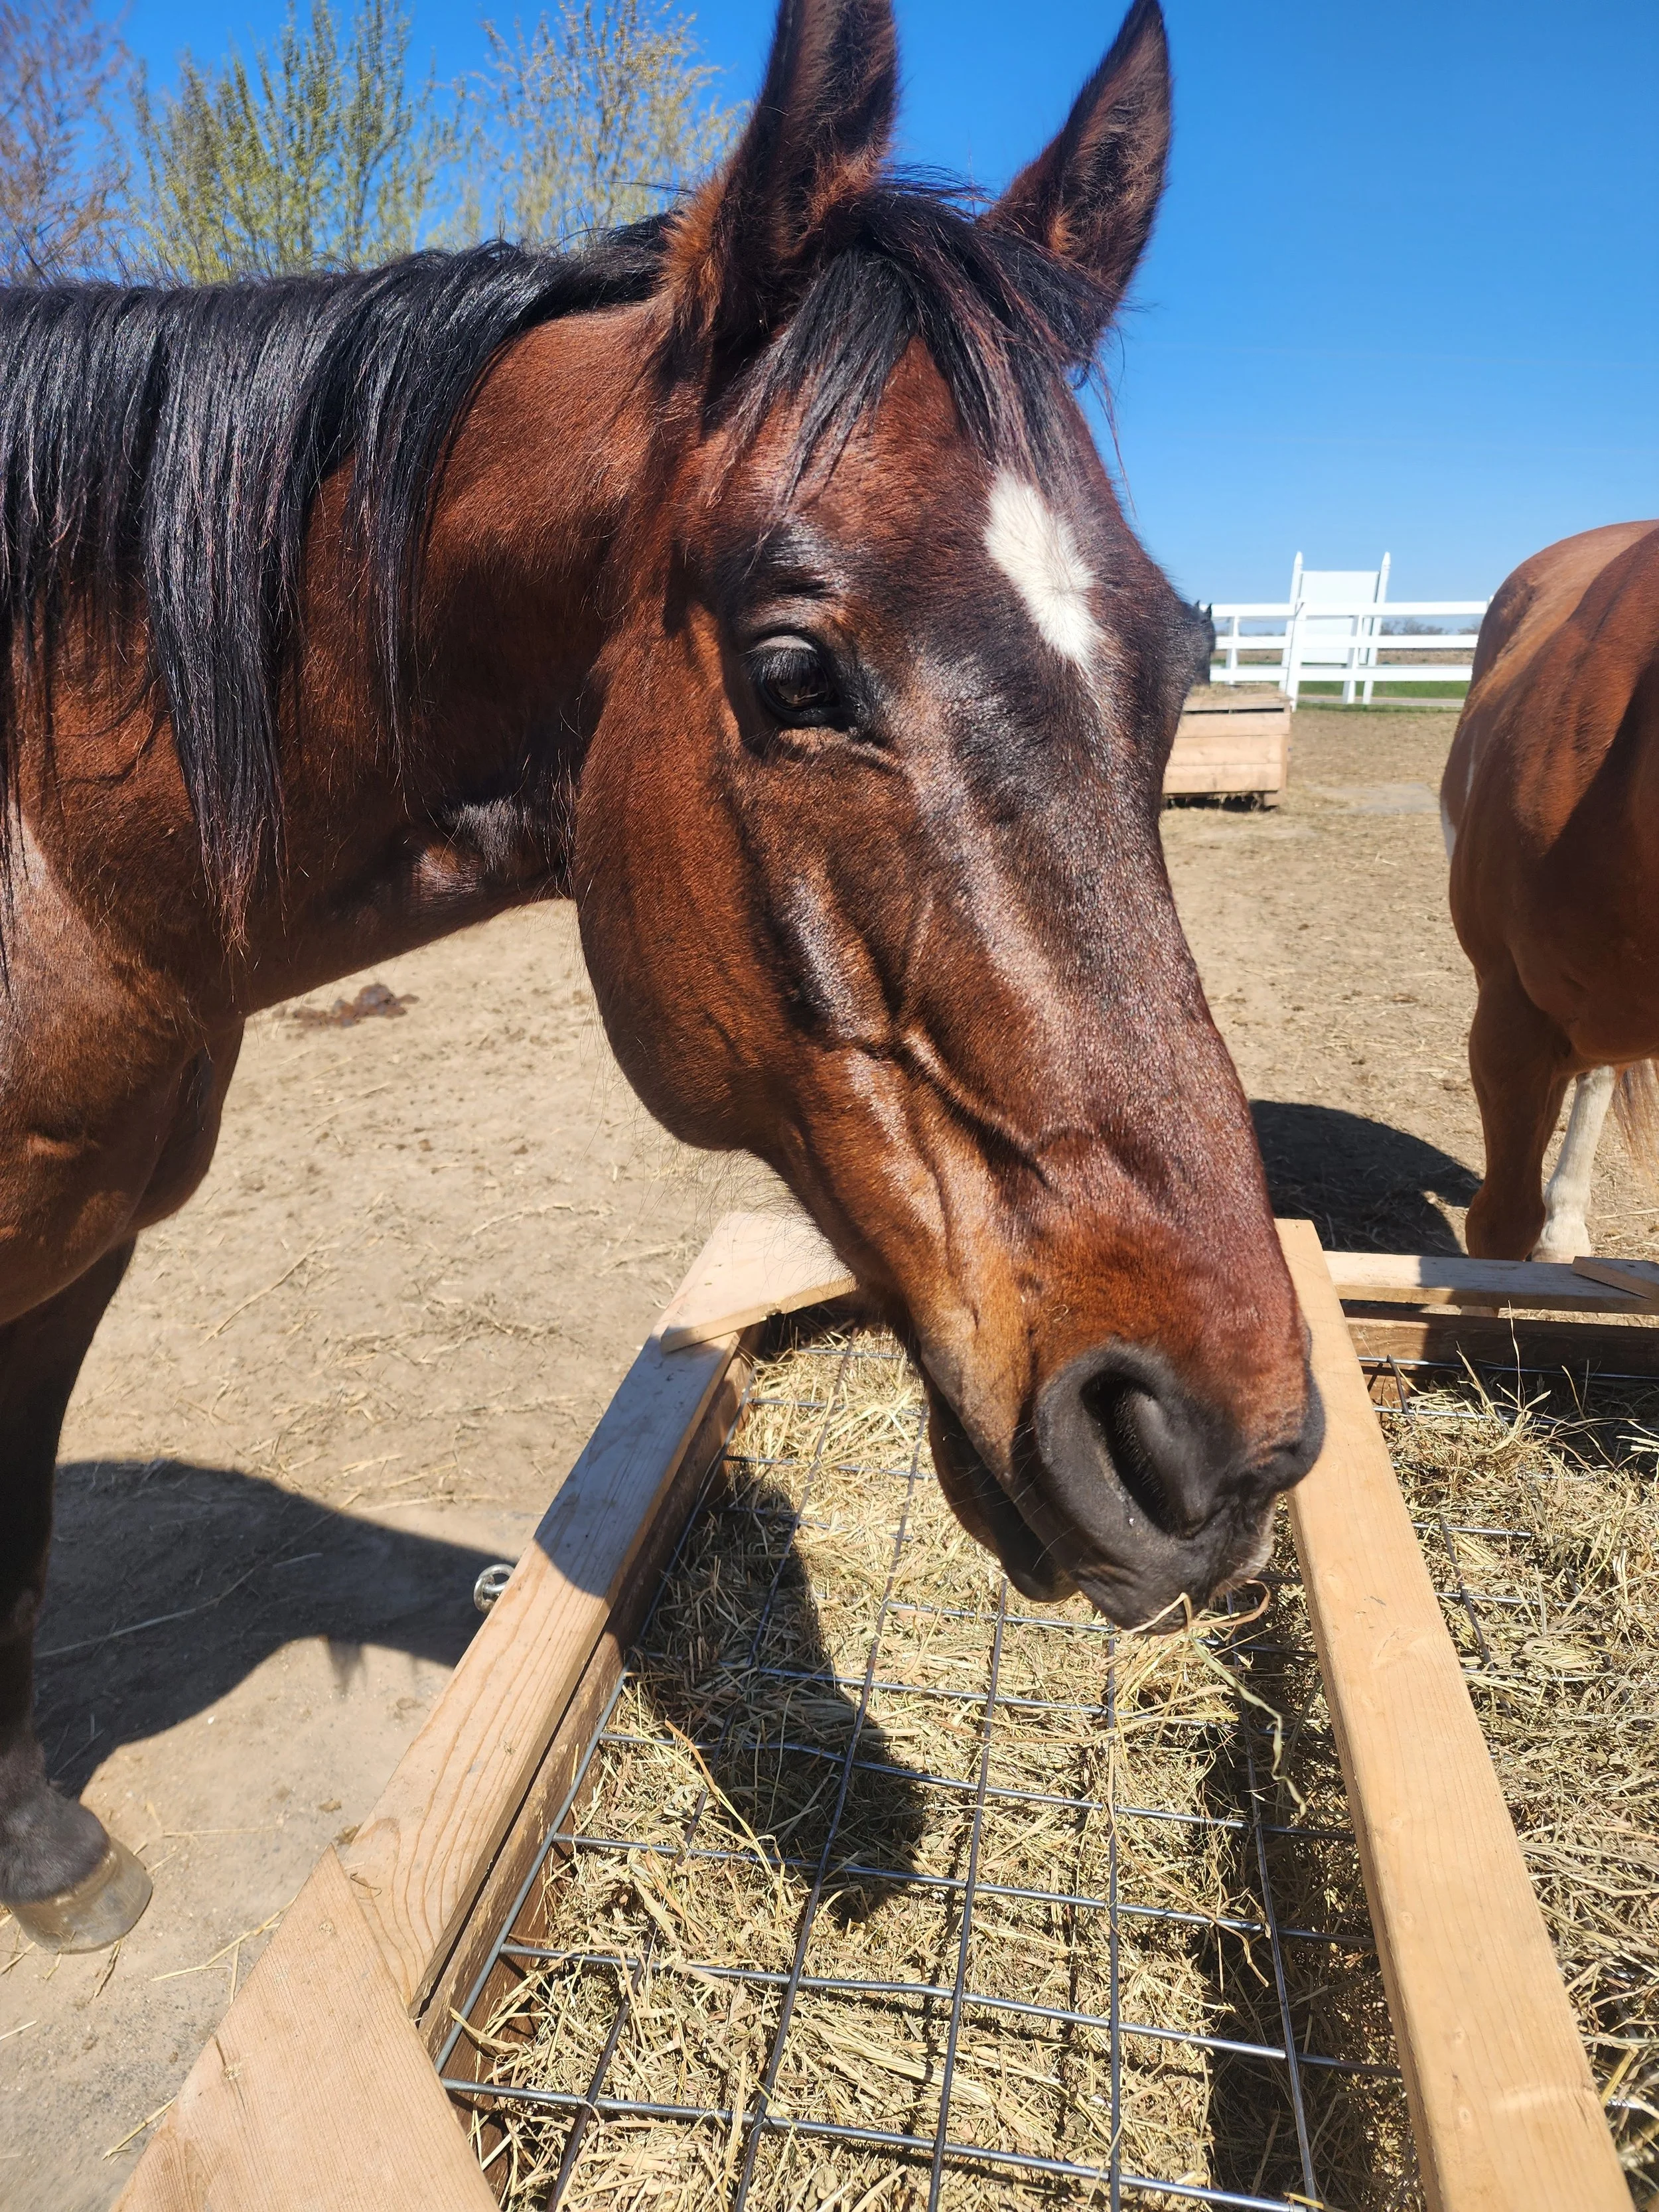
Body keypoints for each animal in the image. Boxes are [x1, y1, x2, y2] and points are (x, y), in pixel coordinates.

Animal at [0, 0, 1322, 1951]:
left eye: (1172, 662)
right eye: (792, 673)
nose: (1214, 1453)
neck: (54, 855)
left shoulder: (75, 1254)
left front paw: (42, 1845)